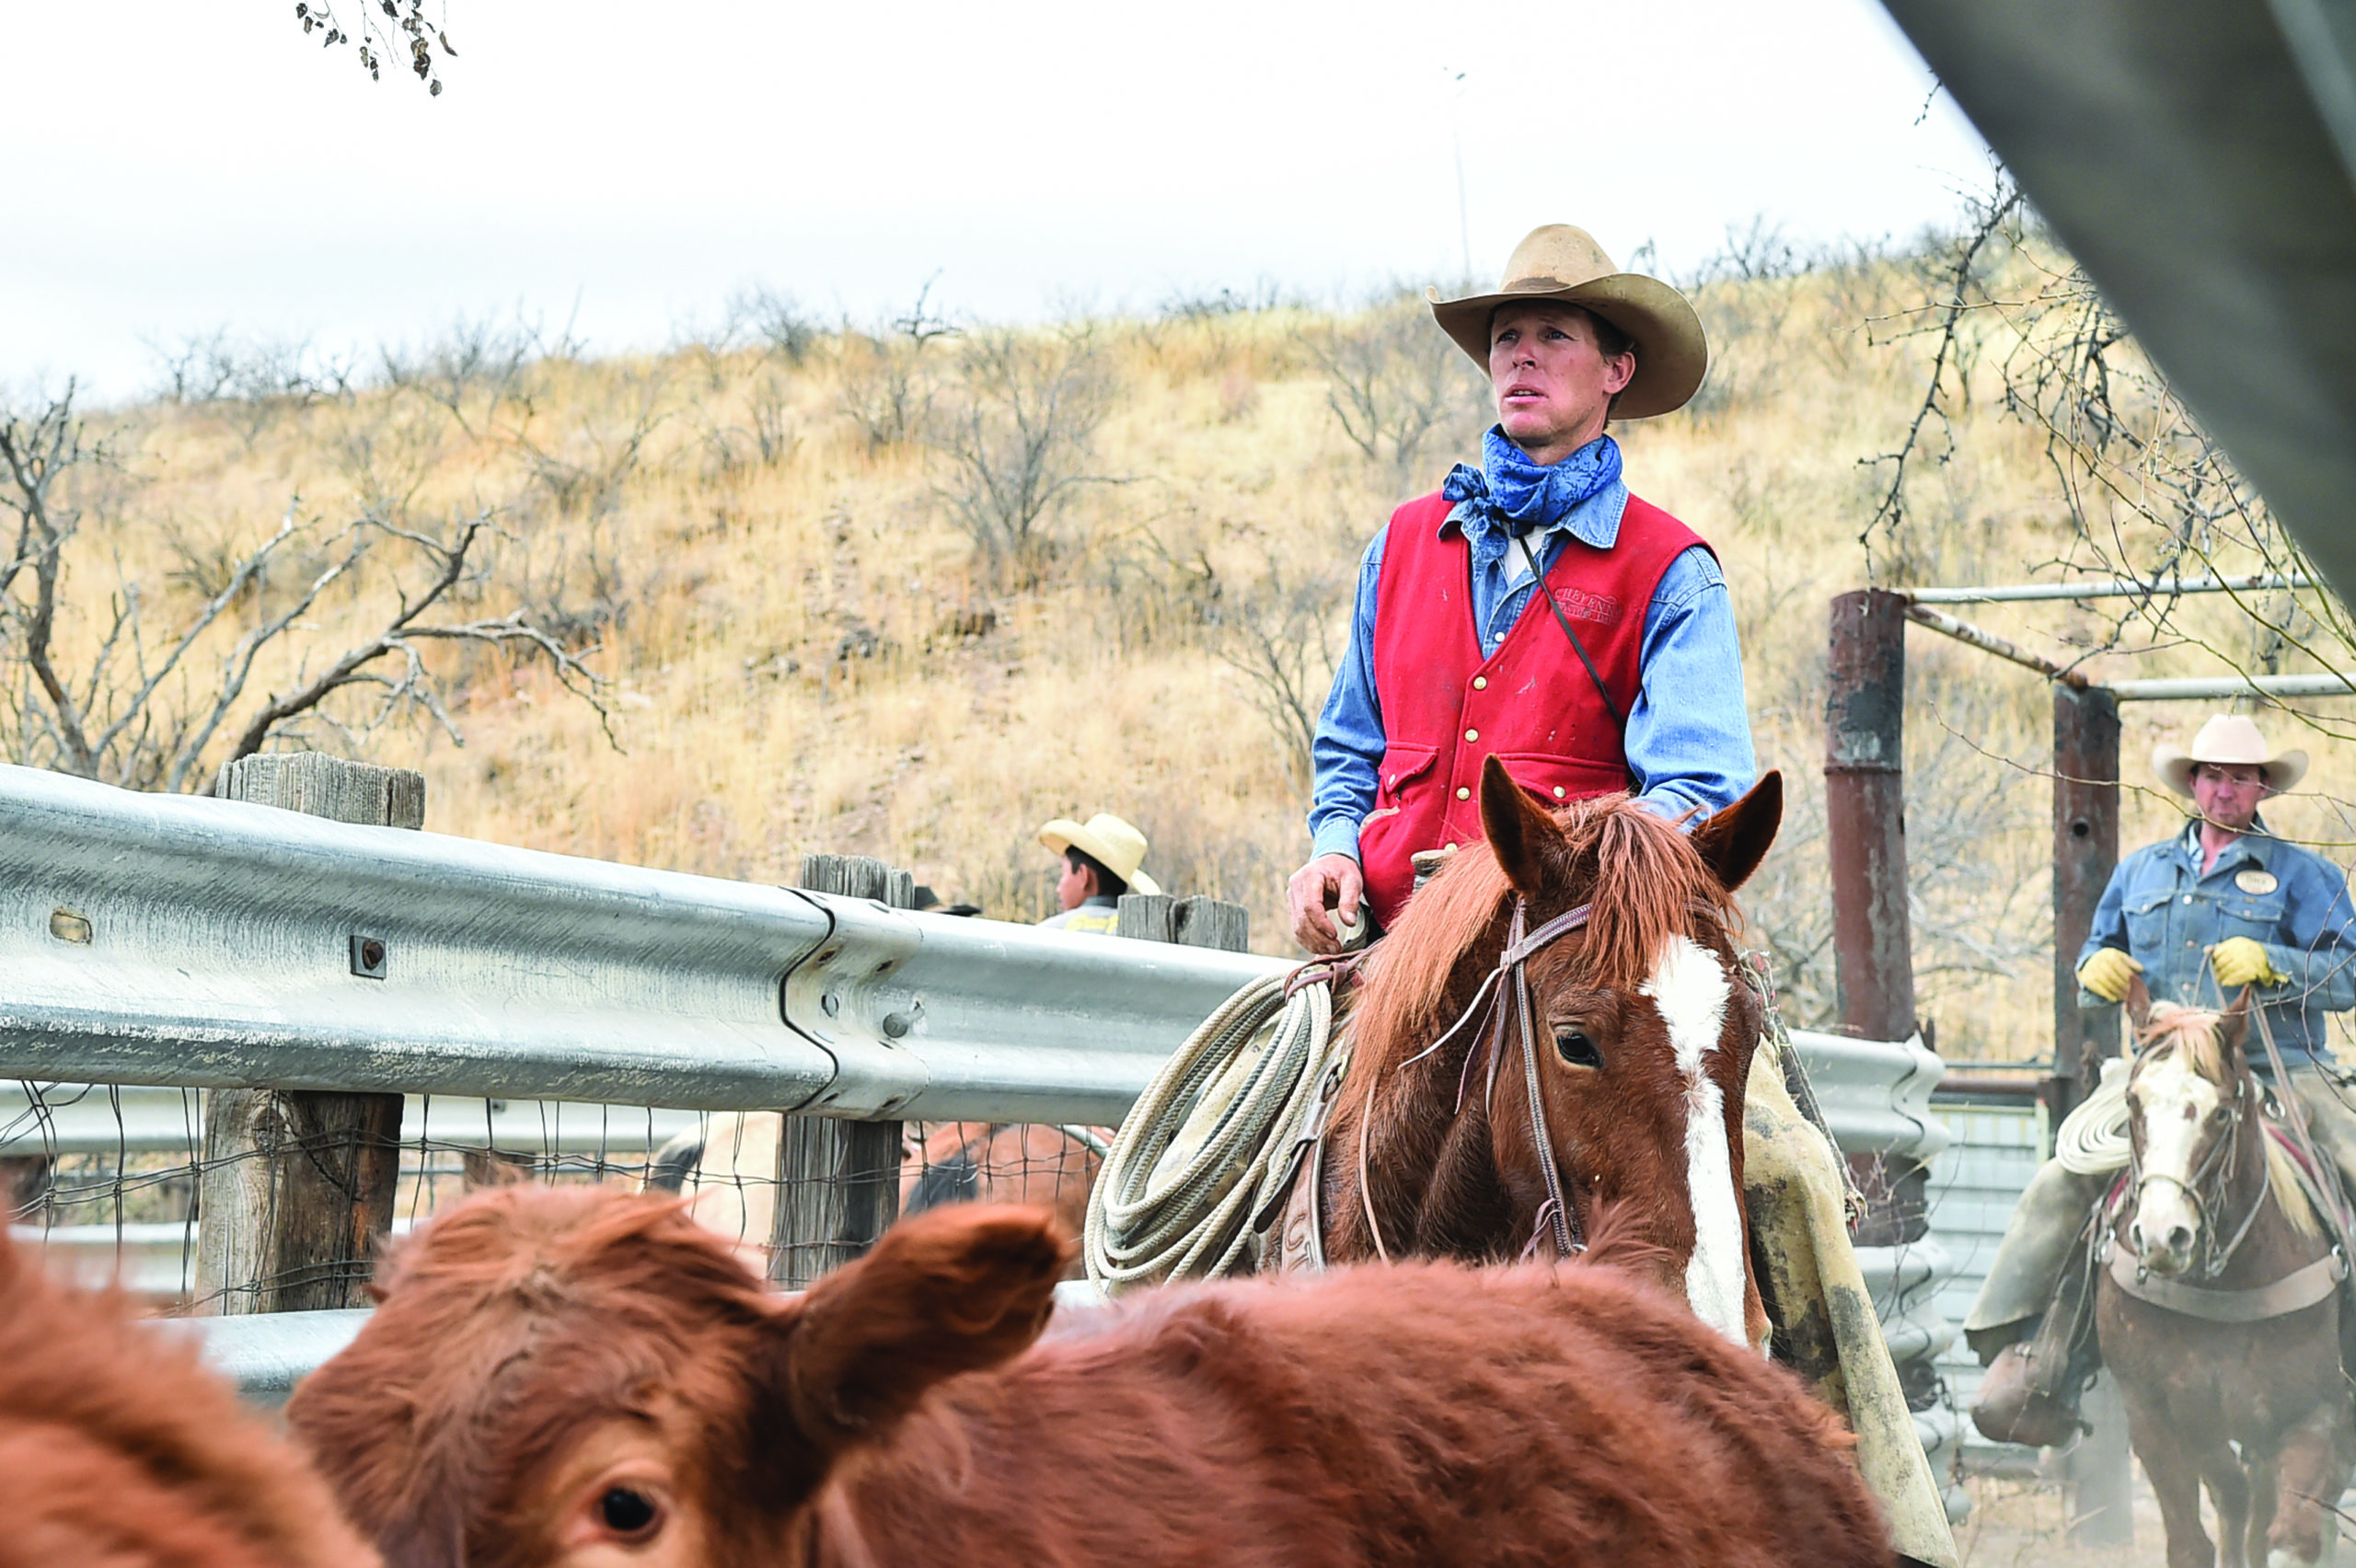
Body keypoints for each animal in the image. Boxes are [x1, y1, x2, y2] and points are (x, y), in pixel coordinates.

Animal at [2110, 984, 2346, 1562]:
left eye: (2220, 1113)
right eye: (2133, 1102)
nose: (2161, 1235)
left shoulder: (2313, 1417)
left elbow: (2290, 1539)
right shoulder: (2156, 1419)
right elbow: (2194, 1541)